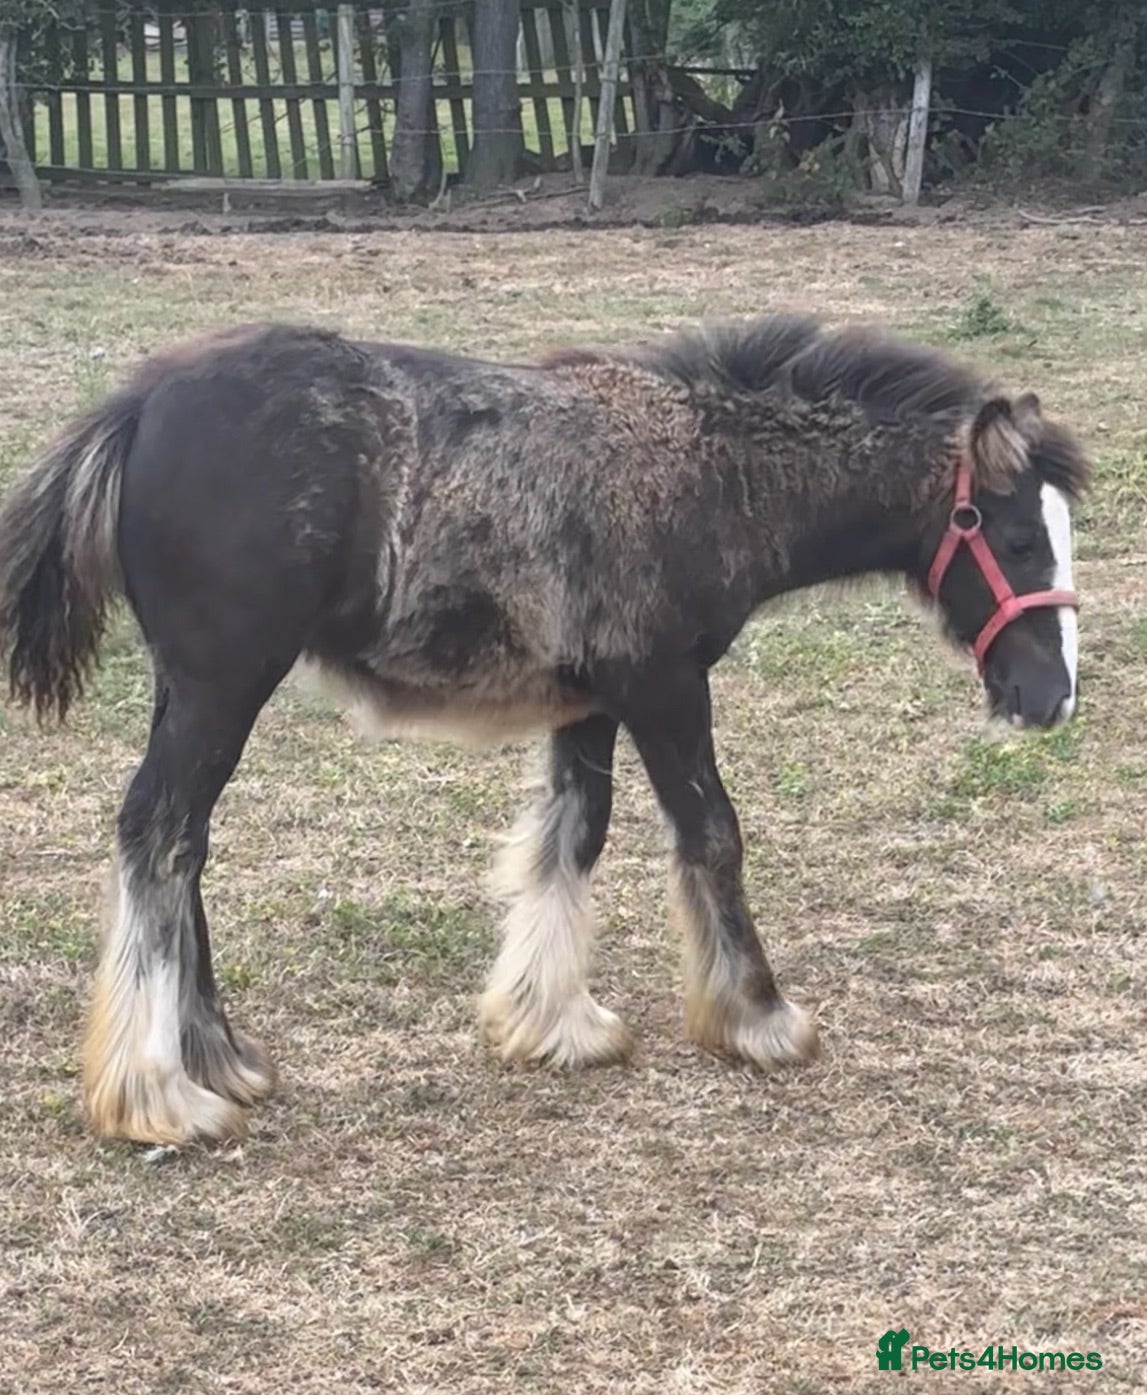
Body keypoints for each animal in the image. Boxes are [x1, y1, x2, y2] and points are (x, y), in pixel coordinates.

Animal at [0, 314, 1089, 1147]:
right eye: (1012, 536)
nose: (1050, 698)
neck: (707, 475)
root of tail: (141, 404)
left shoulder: (593, 703)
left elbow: (573, 837)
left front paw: (557, 1022)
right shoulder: (664, 686)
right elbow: (713, 834)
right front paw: (760, 1016)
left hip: (191, 690)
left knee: (183, 843)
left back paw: (219, 1055)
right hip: (222, 685)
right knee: (159, 832)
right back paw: (159, 1093)